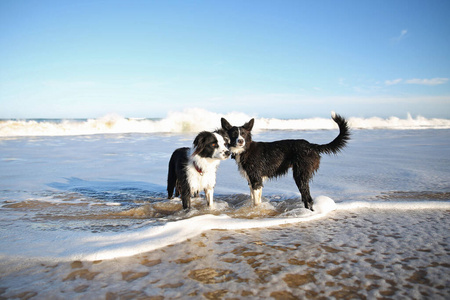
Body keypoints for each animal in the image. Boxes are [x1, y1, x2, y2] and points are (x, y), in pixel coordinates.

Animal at [221, 113, 352, 211]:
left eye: (243, 134)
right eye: (234, 134)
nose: (240, 141)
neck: (245, 149)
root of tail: (311, 145)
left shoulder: (256, 180)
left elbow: (257, 202)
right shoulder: (252, 181)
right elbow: (254, 199)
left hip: (300, 175)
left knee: (308, 199)